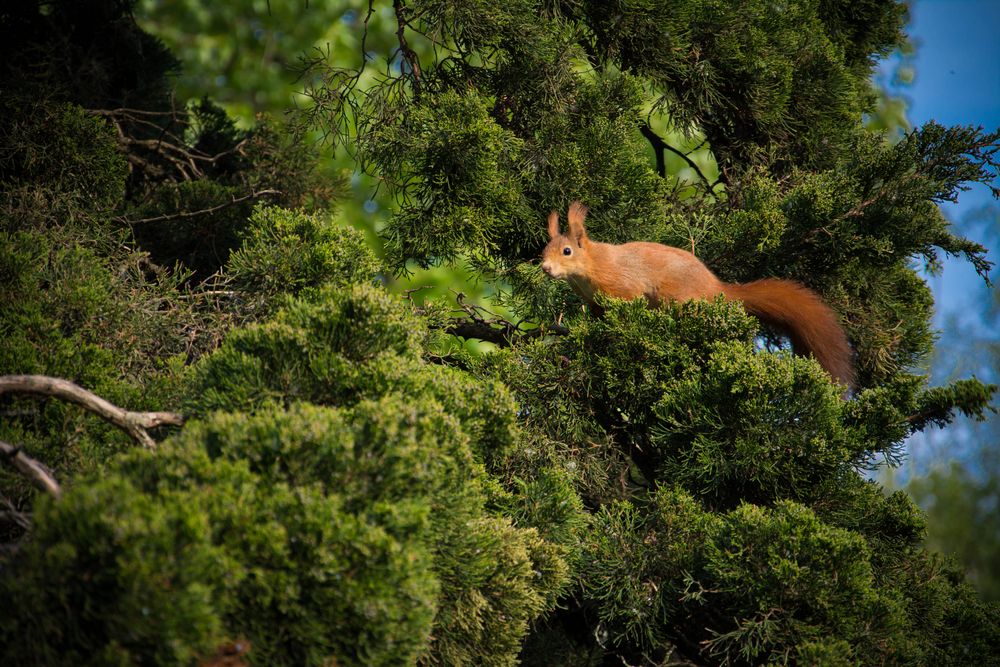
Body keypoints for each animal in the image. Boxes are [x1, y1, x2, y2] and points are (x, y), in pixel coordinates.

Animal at [544, 204, 856, 392]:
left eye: (567, 251)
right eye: (544, 249)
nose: (545, 268)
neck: (590, 267)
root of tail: (716, 289)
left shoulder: (622, 284)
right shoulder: (594, 302)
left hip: (673, 297)